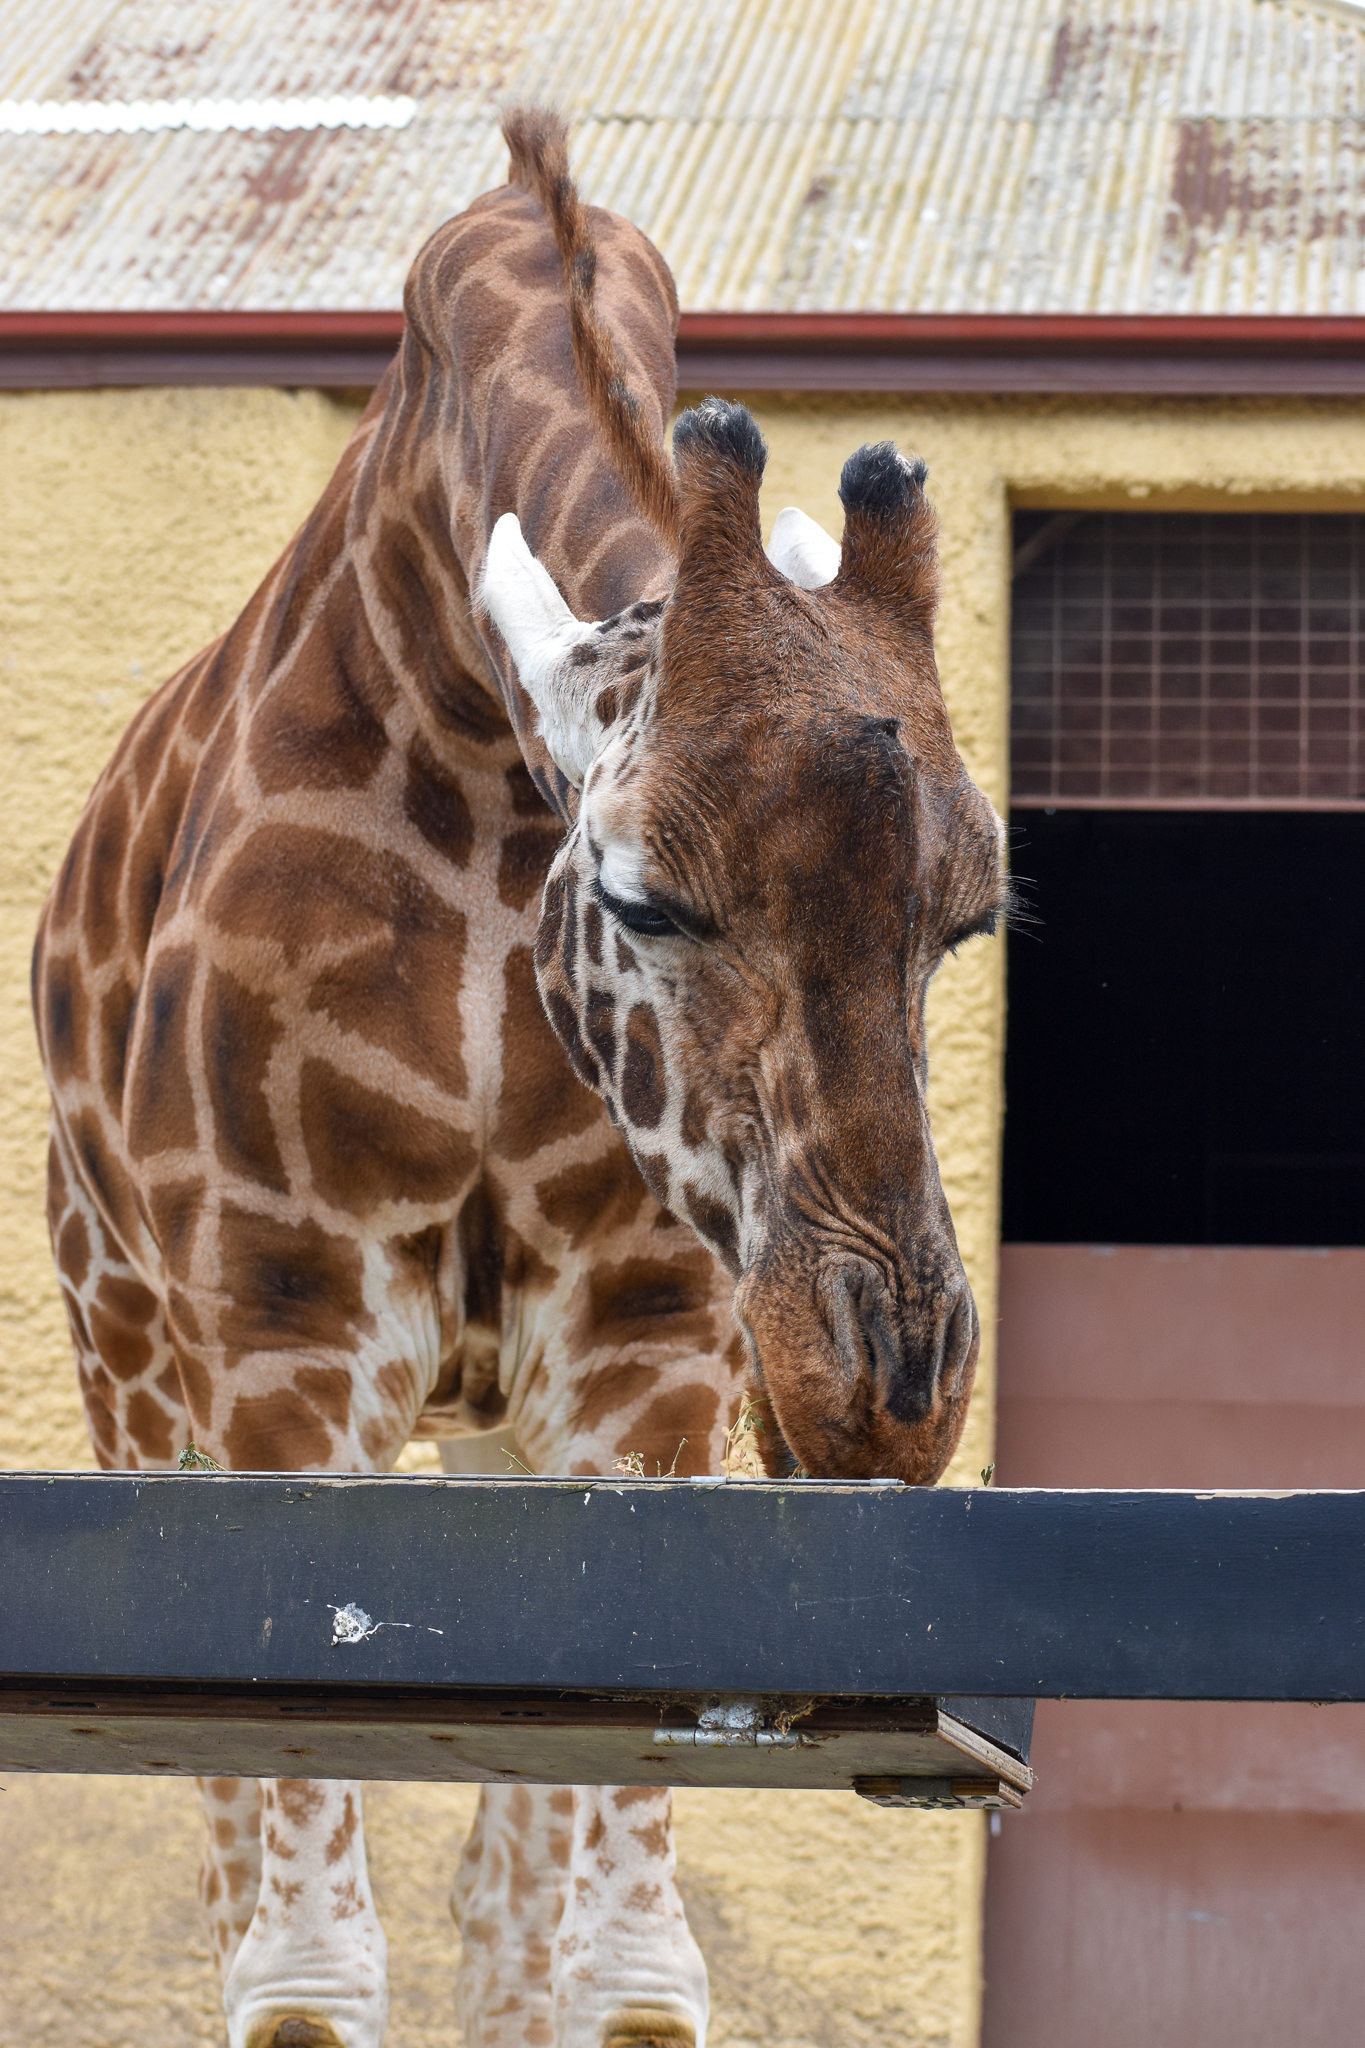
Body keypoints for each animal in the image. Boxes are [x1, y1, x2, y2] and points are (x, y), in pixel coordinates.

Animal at [31, 107, 1006, 2048]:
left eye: (967, 919)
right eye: (639, 893)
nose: (888, 1395)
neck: (484, 771)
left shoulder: (641, 1349)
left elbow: (615, 1969)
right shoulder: (291, 1322)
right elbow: (302, 1966)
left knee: (505, 1902)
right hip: (131, 1369)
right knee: (238, 1868)